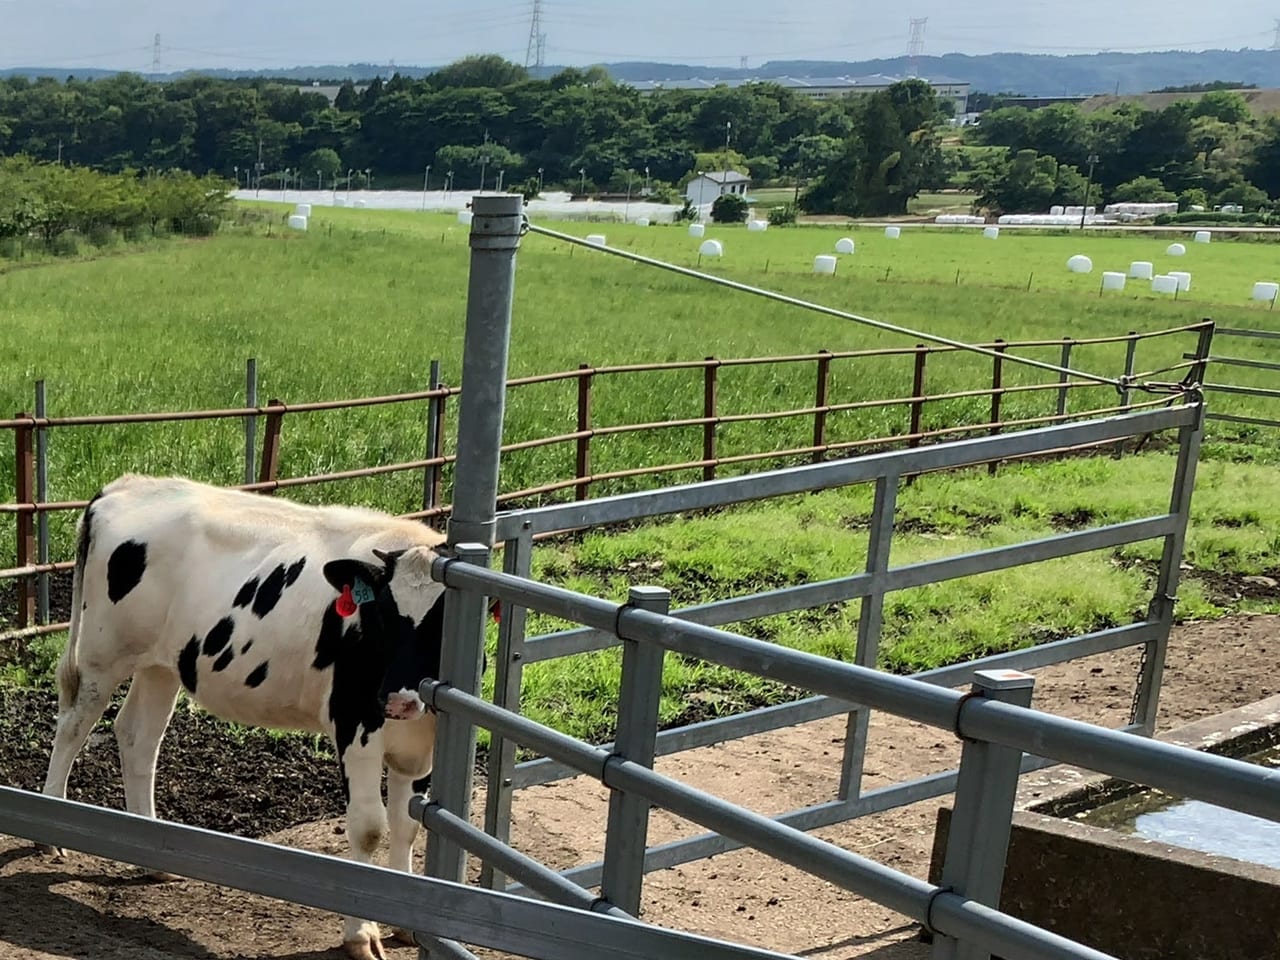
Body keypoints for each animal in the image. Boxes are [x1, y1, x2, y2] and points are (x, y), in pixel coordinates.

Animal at [40, 476, 473, 960]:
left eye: (440, 623)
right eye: (379, 614)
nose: (397, 699)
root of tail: (129, 485)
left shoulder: (421, 746)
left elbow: (407, 826)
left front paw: (405, 923)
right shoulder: (354, 725)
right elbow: (368, 829)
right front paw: (360, 934)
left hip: (160, 665)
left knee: (138, 735)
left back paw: (151, 854)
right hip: (103, 654)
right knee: (74, 724)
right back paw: (51, 833)